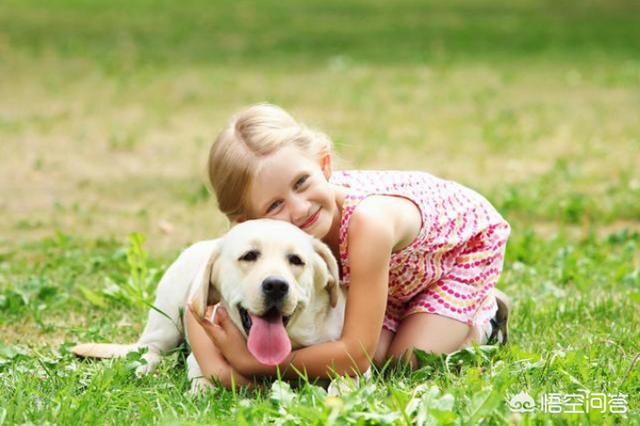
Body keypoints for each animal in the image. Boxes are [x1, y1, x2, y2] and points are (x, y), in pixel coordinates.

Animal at [72, 220, 348, 390]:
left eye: (296, 260)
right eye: (249, 256)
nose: (277, 285)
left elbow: (343, 381)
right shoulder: (199, 355)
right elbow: (204, 376)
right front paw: (202, 390)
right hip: (166, 320)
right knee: (148, 349)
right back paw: (143, 368)